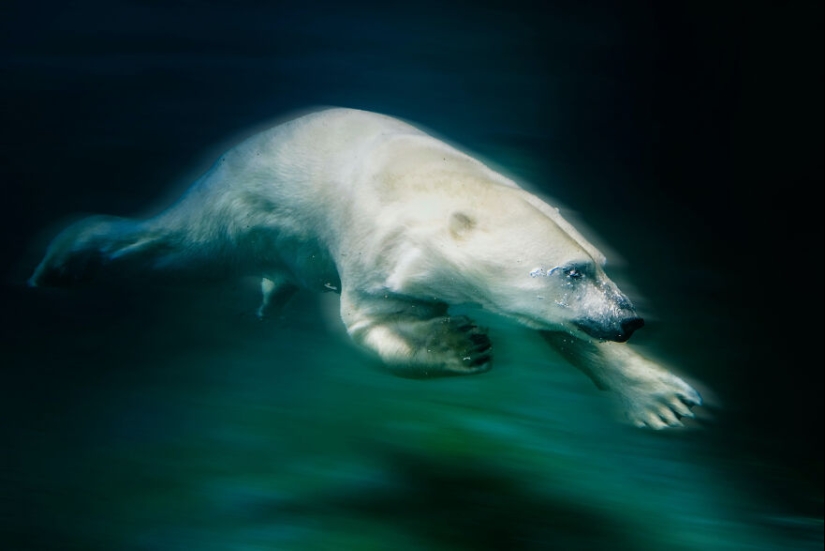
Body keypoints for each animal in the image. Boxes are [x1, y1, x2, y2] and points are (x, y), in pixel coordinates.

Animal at [29, 107, 702, 429]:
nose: (630, 319)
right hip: (234, 212)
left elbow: (562, 332)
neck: (441, 188)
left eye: (598, 264)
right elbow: (370, 326)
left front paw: (663, 398)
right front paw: (461, 342)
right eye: (571, 272)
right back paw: (64, 259)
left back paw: (273, 296)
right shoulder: (375, 250)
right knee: (173, 246)